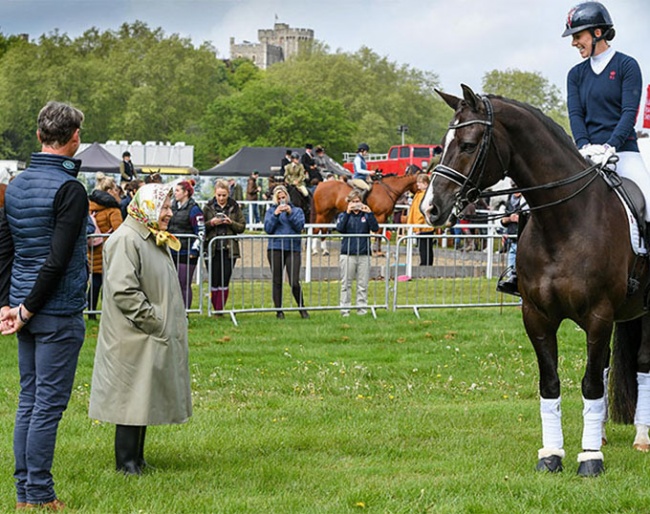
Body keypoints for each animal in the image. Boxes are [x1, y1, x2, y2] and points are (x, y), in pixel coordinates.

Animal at [420, 84, 650, 477]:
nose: (430, 208)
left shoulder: (599, 315)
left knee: (643, 365)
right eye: (443, 143)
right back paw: (602, 434)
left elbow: (590, 384)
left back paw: (641, 437)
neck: (565, 221)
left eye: (467, 144)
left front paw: (589, 459)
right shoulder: (537, 316)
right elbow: (551, 383)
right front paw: (552, 454)